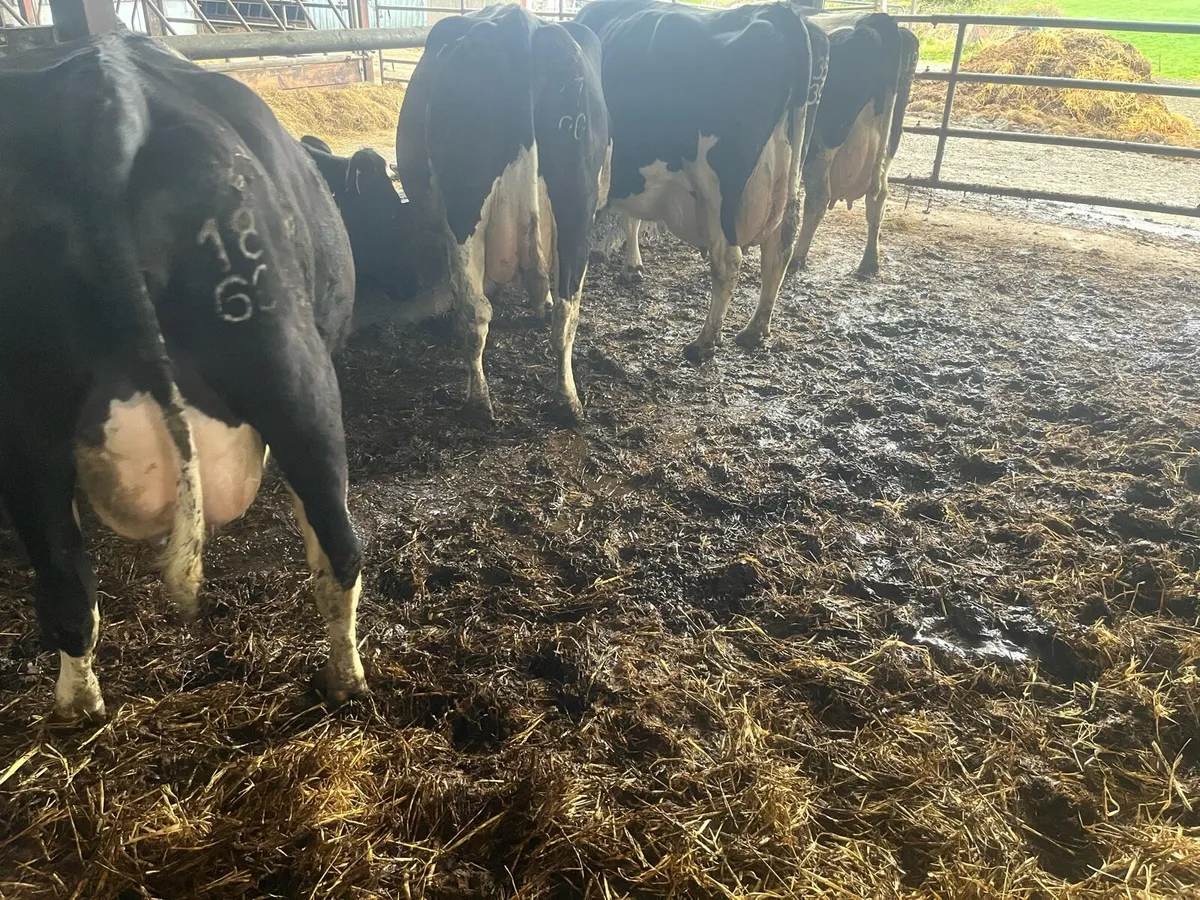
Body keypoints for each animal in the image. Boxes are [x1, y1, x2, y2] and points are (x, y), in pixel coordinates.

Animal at [0, 29, 368, 721]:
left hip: (28, 421)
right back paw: (347, 682)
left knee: (65, 587)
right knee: (339, 551)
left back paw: (79, 708)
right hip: (297, 374)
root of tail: (106, 95)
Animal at [395, 5, 611, 423]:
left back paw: (478, 401)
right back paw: (567, 400)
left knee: (475, 311)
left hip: (465, 209)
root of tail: (518, 24)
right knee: (568, 310)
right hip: (577, 206)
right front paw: (538, 303)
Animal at [575, 0, 828, 364]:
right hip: (788, 175)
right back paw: (754, 330)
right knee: (779, 248)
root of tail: (778, 14)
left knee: (729, 261)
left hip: (718, 191)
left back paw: (704, 342)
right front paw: (633, 266)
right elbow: (632, 216)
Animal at [790, 11, 920, 276]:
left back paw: (797, 258)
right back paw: (869, 261)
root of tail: (878, 22)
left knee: (818, 197)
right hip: (889, 142)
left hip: (822, 143)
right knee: (878, 196)